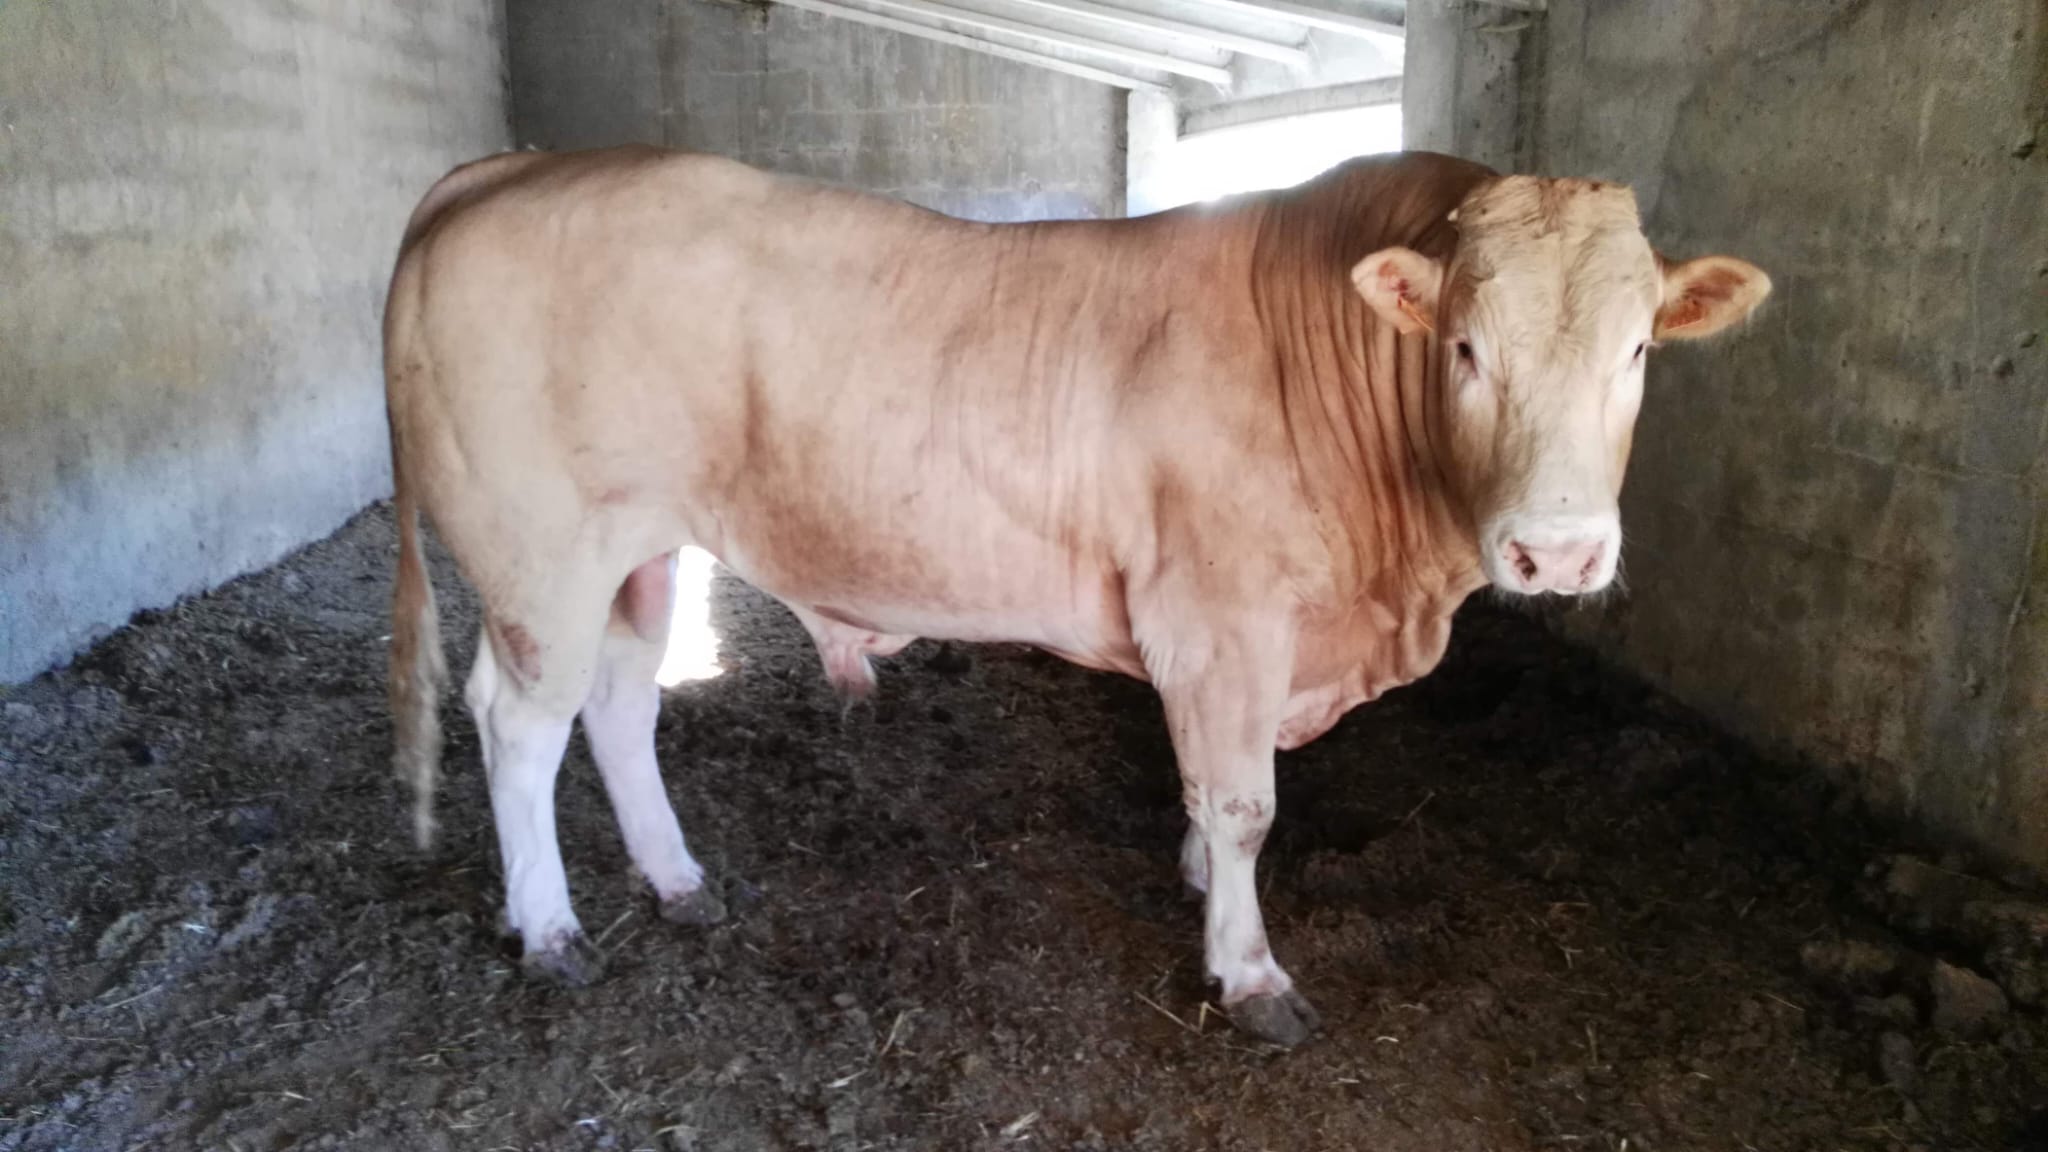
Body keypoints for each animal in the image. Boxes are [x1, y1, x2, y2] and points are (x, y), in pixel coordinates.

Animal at [382, 146, 1769, 1046]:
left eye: (1636, 349)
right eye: (1465, 349)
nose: (1557, 551)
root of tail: (507, 171)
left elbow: (1213, 793)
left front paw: (1200, 883)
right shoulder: (1218, 617)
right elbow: (1244, 801)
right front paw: (1248, 971)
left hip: (641, 549)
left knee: (619, 703)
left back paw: (675, 879)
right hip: (541, 551)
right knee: (519, 722)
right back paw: (548, 930)